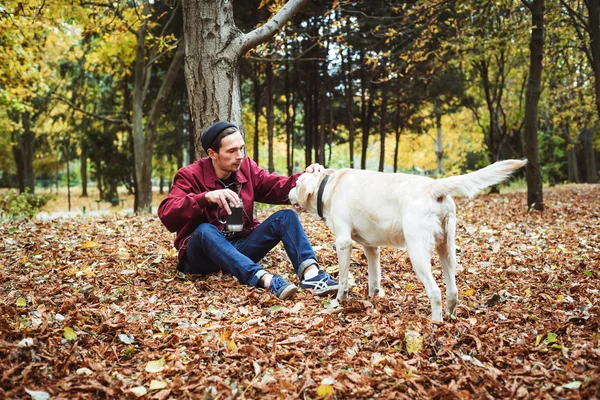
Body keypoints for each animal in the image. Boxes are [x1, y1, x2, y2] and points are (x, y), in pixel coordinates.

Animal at [288, 159, 528, 322]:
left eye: (297, 183)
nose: (288, 193)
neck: (328, 186)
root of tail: (434, 187)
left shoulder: (343, 243)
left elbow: (344, 280)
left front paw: (339, 302)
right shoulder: (371, 248)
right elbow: (373, 279)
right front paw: (373, 300)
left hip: (417, 253)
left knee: (435, 292)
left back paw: (436, 323)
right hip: (446, 249)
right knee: (453, 291)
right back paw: (450, 318)